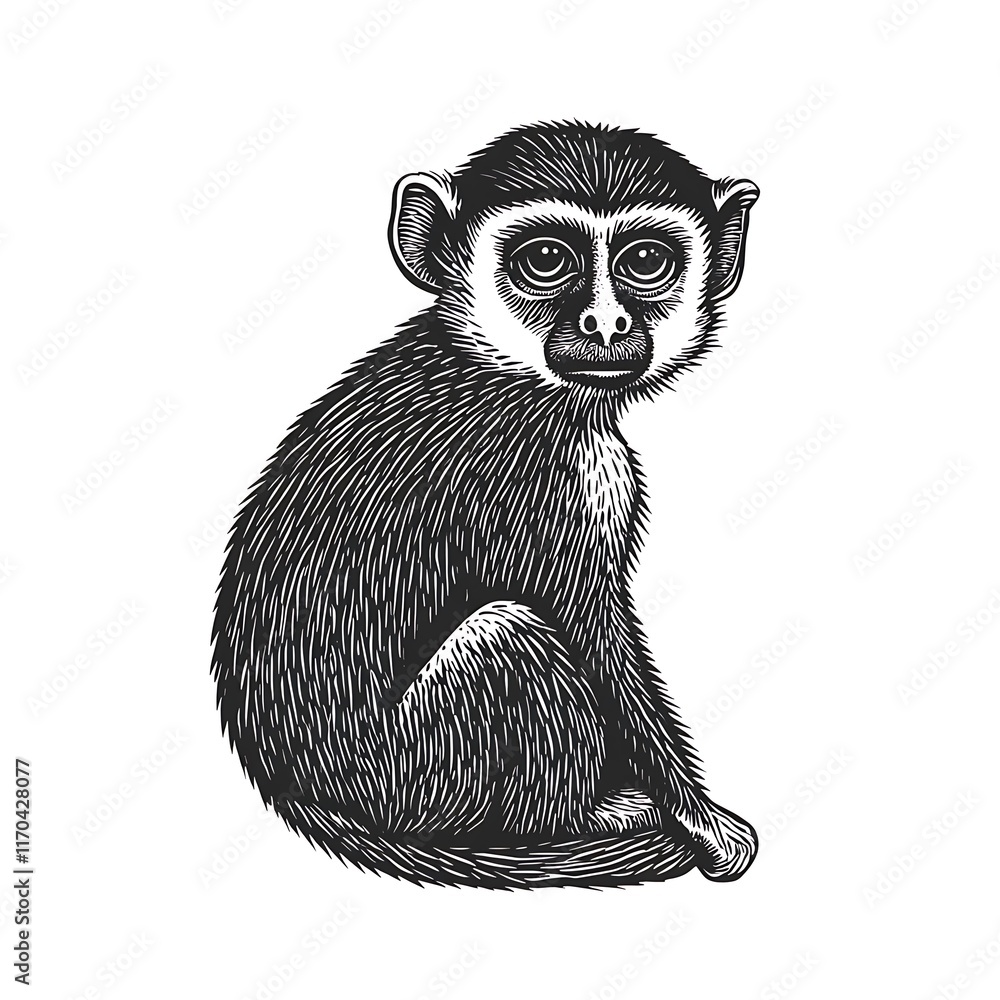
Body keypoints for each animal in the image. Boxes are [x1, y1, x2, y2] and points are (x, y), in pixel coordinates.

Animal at [211, 121, 760, 889]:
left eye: (646, 261)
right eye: (546, 261)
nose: (606, 322)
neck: (497, 371)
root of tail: (304, 791)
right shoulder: (551, 479)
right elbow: (592, 633)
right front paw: (700, 818)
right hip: (420, 770)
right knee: (508, 632)